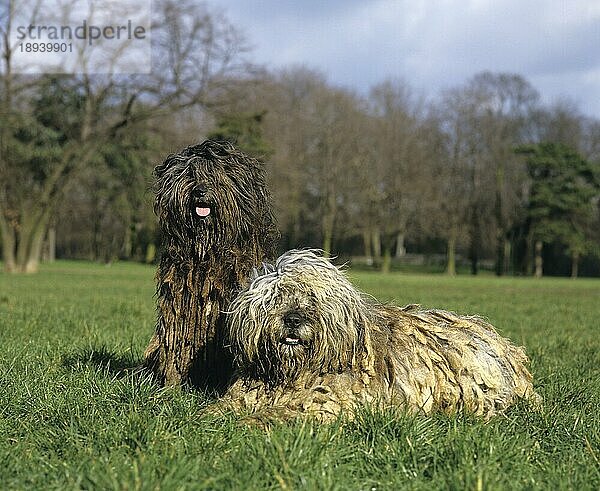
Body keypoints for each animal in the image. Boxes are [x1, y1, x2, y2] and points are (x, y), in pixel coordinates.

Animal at [144, 140, 278, 390]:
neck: (208, 252)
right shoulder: (180, 304)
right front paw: (172, 385)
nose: (200, 191)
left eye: (216, 175)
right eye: (189, 174)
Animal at [219, 250, 540, 422]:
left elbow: (282, 413)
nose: (293, 319)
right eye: (276, 298)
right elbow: (223, 406)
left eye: (312, 298)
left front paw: (252, 422)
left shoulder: (328, 400)